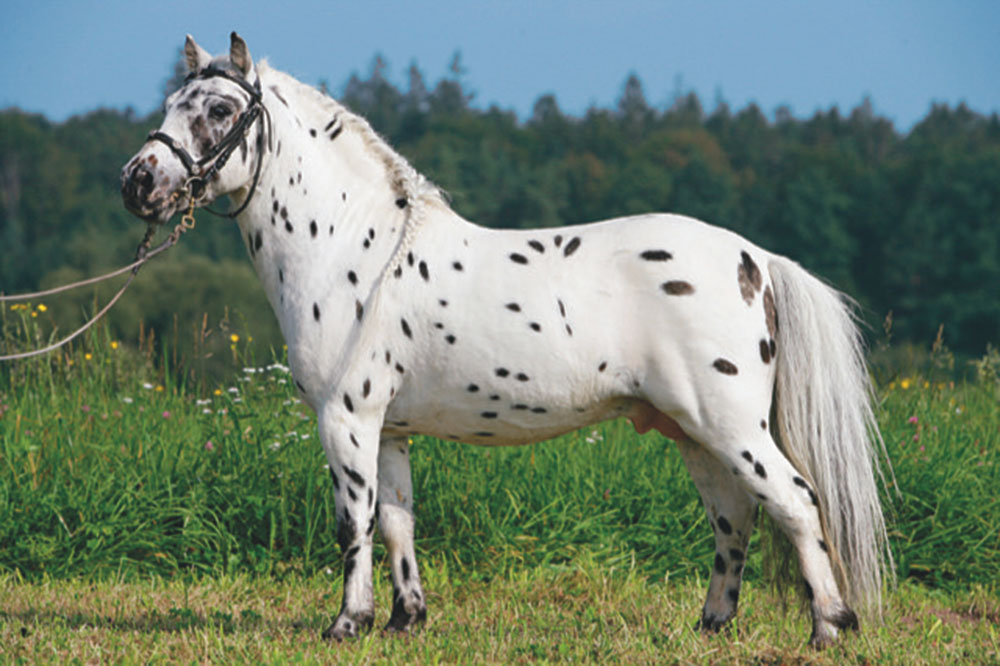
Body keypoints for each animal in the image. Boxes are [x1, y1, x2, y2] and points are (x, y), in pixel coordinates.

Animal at [121, 33, 891, 647]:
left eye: (221, 111)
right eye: (170, 102)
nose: (138, 183)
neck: (351, 249)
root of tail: (754, 258)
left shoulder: (347, 419)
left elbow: (353, 522)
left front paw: (346, 624)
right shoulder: (390, 429)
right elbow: (397, 520)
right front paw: (405, 619)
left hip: (729, 424)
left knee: (794, 502)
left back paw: (829, 627)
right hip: (693, 431)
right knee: (734, 517)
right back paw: (712, 626)